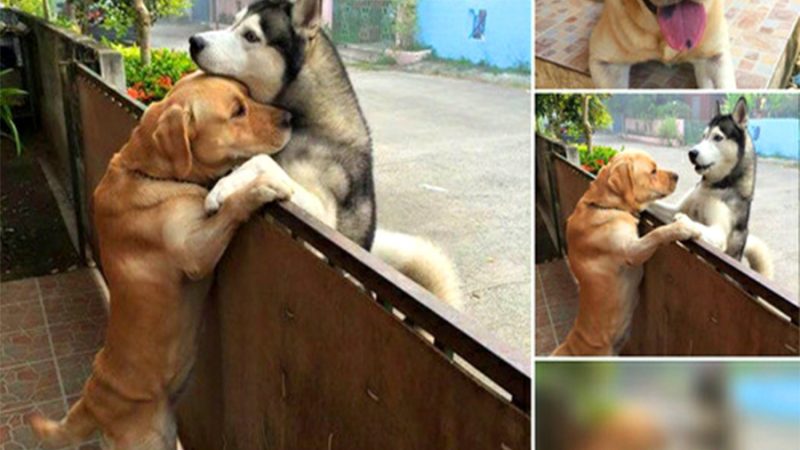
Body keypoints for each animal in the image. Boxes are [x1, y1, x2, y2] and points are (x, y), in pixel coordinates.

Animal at [189, 0, 462, 306]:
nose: (194, 42)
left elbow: (263, 160)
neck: (309, 124)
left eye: (250, 36)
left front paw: (221, 189)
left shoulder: (323, 219)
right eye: (233, 21)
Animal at [552, 150, 704, 356]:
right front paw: (683, 227)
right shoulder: (631, 252)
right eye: (653, 171)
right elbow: (658, 233)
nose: (677, 176)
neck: (605, 205)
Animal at [648, 96, 776, 276]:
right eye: (703, 136)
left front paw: (684, 222)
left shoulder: (719, 234)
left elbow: (696, 224)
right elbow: (655, 204)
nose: (691, 153)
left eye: (717, 137)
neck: (714, 186)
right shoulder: (676, 208)